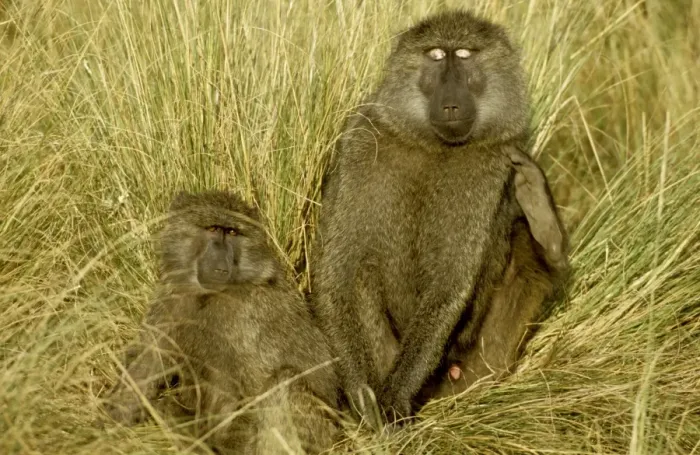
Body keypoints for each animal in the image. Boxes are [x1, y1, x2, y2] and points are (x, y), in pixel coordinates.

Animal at [103, 190, 341, 454]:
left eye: (233, 232)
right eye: (214, 229)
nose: (221, 262)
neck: (208, 295)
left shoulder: (249, 314)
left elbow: (256, 385)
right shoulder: (170, 299)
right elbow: (147, 362)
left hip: (319, 433)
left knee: (283, 382)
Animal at [310, 9, 569, 428]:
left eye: (463, 56)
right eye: (435, 56)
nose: (450, 104)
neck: (432, 144)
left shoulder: (492, 162)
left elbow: (449, 281)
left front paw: (394, 398)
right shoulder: (362, 141)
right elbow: (340, 274)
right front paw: (364, 396)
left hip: (484, 361)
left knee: (530, 252)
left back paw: (543, 221)